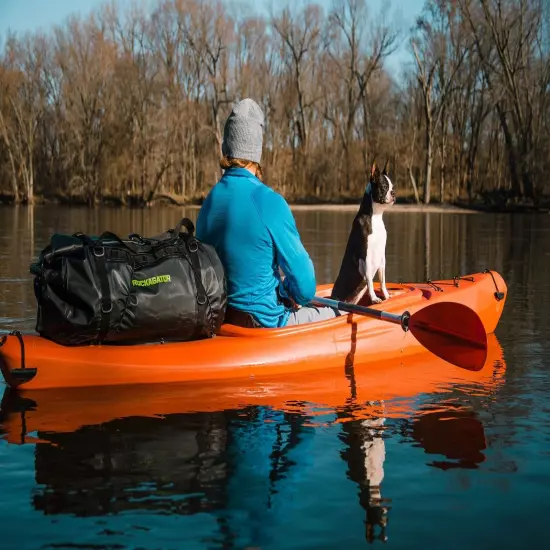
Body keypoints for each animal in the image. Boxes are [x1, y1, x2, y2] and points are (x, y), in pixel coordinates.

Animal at [332, 162, 396, 306]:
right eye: (384, 187)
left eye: (392, 187)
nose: (393, 193)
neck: (376, 217)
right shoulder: (366, 256)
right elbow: (370, 281)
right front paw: (374, 298)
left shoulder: (382, 257)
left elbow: (382, 281)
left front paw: (386, 296)